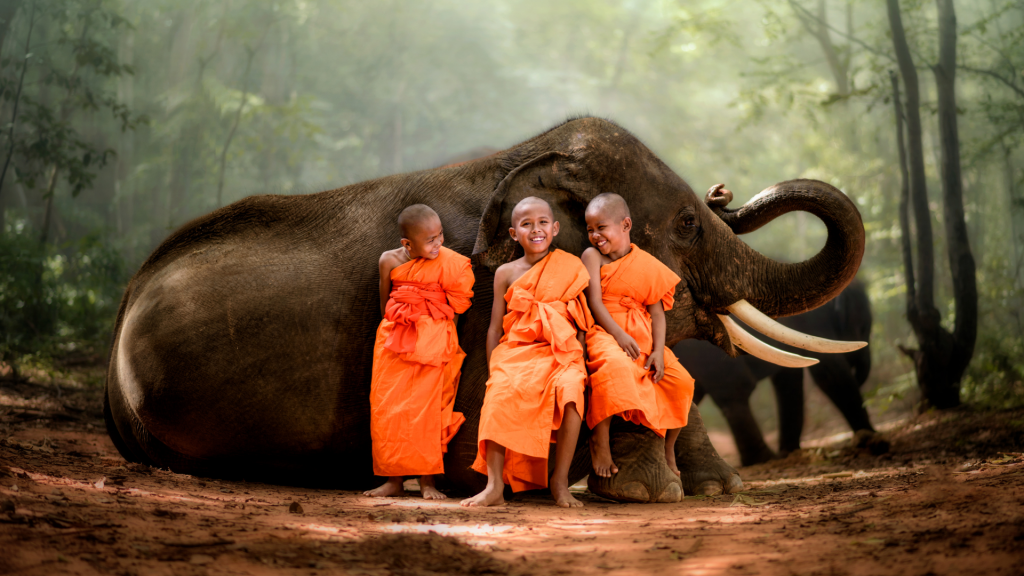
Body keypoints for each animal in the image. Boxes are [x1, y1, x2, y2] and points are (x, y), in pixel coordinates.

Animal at [673, 281, 883, 467]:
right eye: (863, 328)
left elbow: (789, 379)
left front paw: (789, 452)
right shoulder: (813, 321)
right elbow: (829, 373)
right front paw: (872, 439)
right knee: (734, 390)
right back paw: (762, 460)